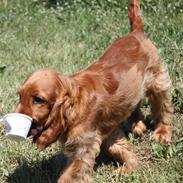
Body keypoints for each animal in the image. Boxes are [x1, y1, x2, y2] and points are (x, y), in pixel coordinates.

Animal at [15, 0, 173, 182]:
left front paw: (129, 168)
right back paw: (137, 125)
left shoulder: (83, 146)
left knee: (163, 107)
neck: (76, 104)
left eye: (38, 100)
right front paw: (130, 167)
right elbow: (118, 147)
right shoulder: (105, 129)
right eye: (20, 96)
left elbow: (69, 176)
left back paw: (162, 133)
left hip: (158, 81)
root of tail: (136, 32)